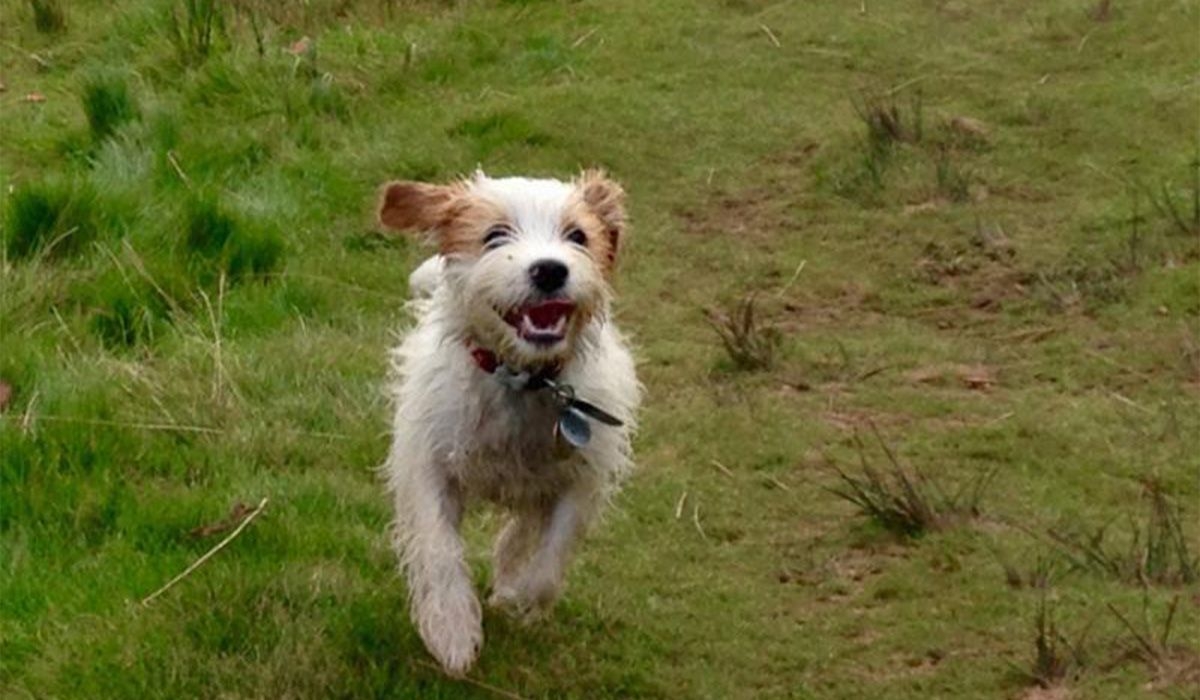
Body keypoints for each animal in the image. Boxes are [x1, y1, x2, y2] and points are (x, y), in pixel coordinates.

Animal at [376, 172, 643, 677]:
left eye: (578, 235)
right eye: (495, 235)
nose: (550, 270)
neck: (522, 380)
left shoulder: (581, 478)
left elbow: (552, 556)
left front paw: (519, 596)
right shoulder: (430, 464)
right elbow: (439, 548)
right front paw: (453, 631)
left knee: (524, 527)